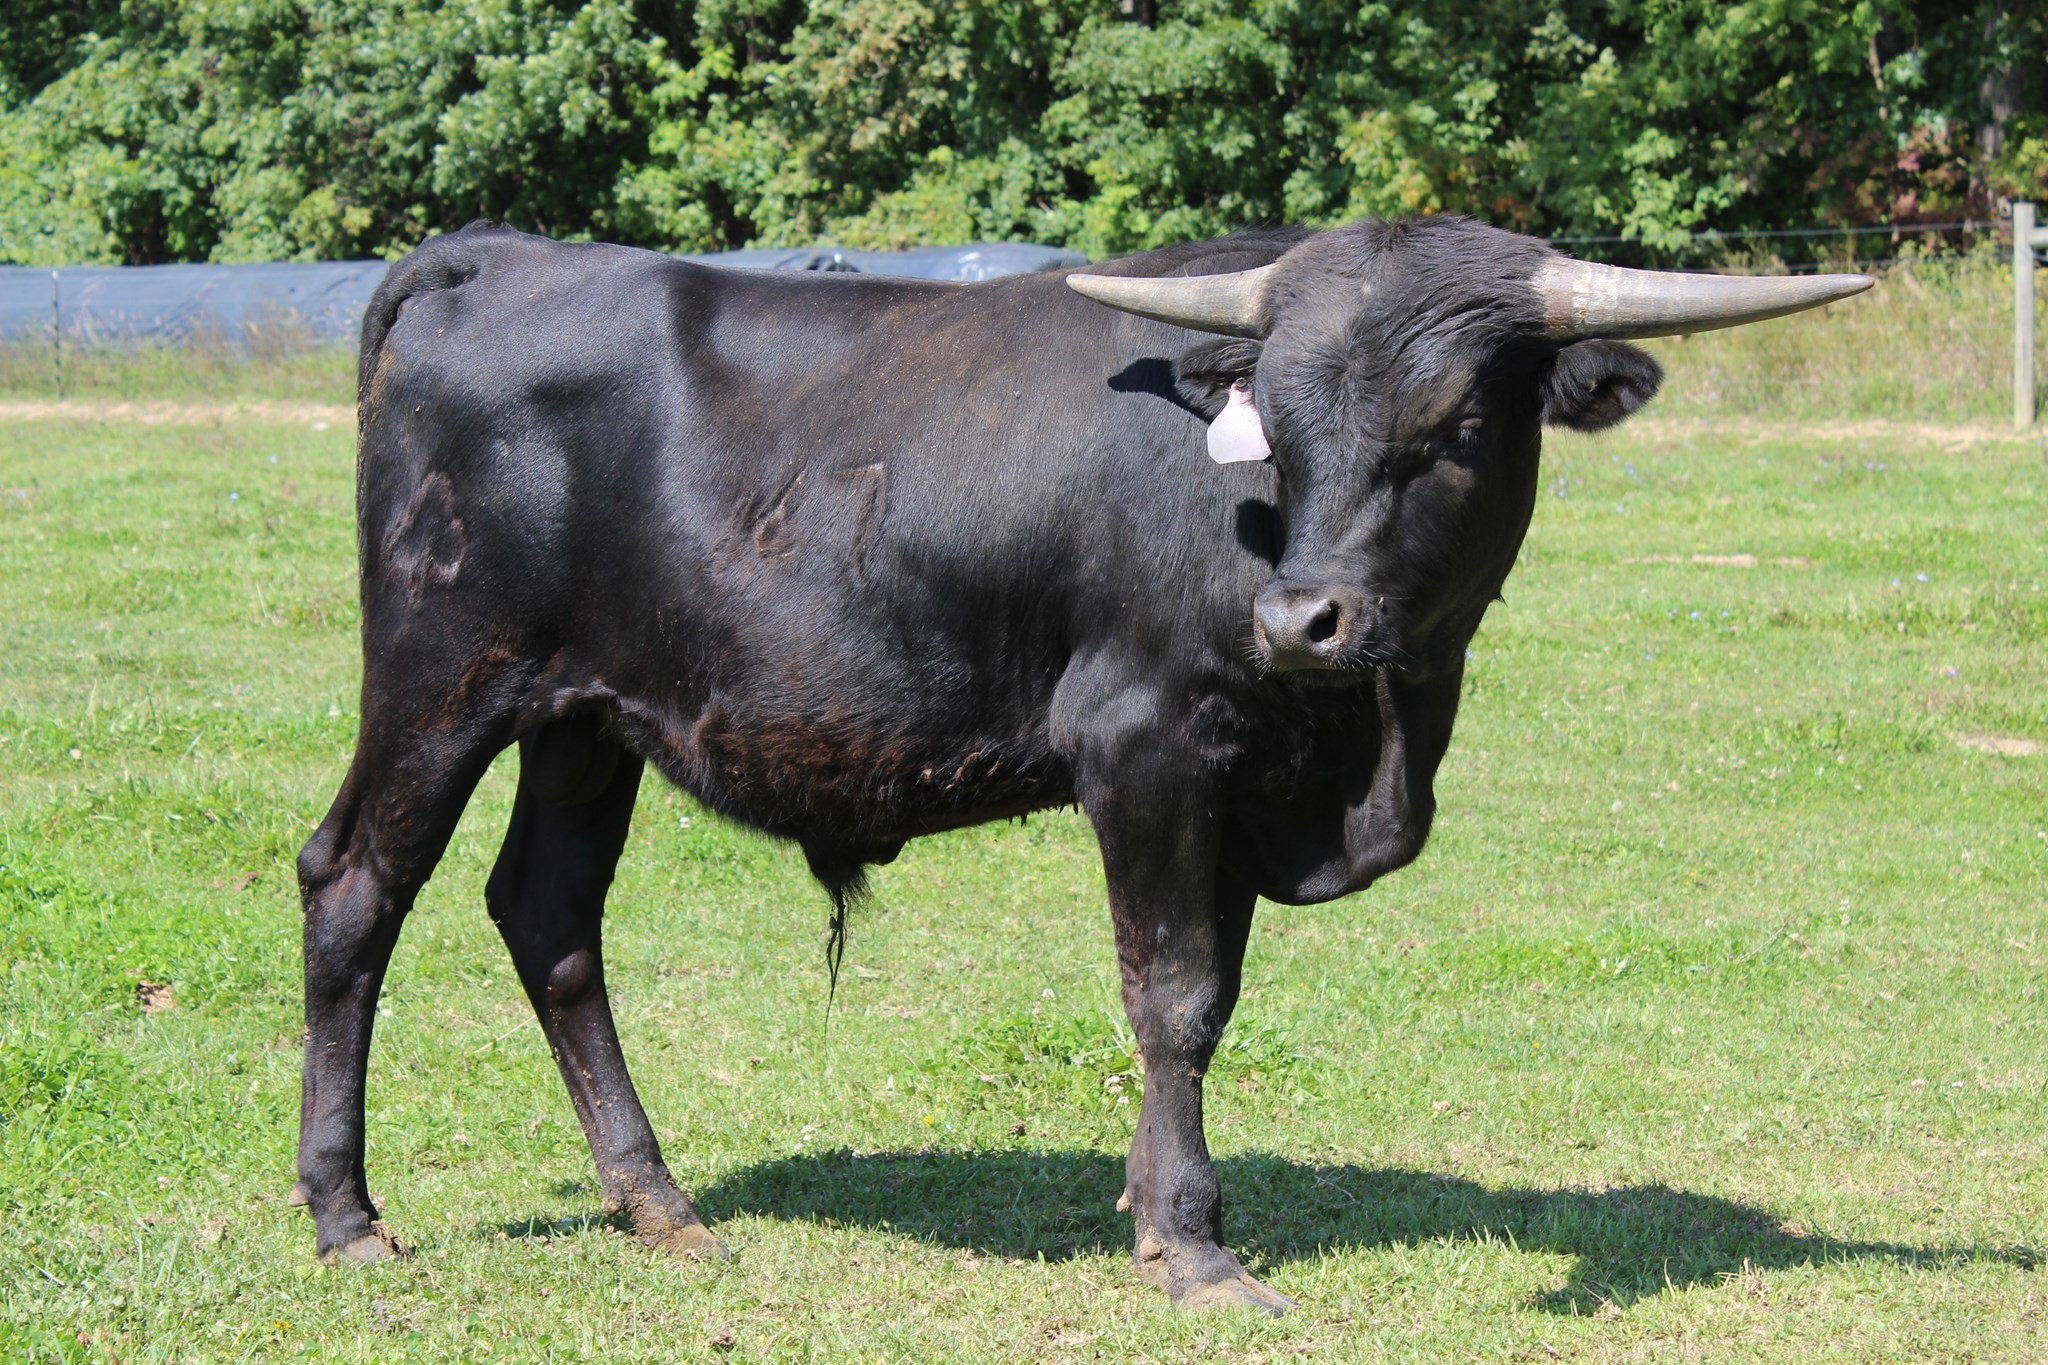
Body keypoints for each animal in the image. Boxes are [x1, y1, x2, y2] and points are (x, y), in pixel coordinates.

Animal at [292, 214, 1868, 1313]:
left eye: (1462, 422)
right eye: (1281, 422)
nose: (1299, 619)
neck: (1376, 741)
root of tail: (505, 254)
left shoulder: (1245, 788)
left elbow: (1209, 999)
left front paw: (1158, 1213)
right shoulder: (1144, 746)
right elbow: (1170, 996)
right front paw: (1193, 1250)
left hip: (583, 717)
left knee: (549, 913)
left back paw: (659, 1205)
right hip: (442, 677)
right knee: (355, 886)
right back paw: (347, 1217)